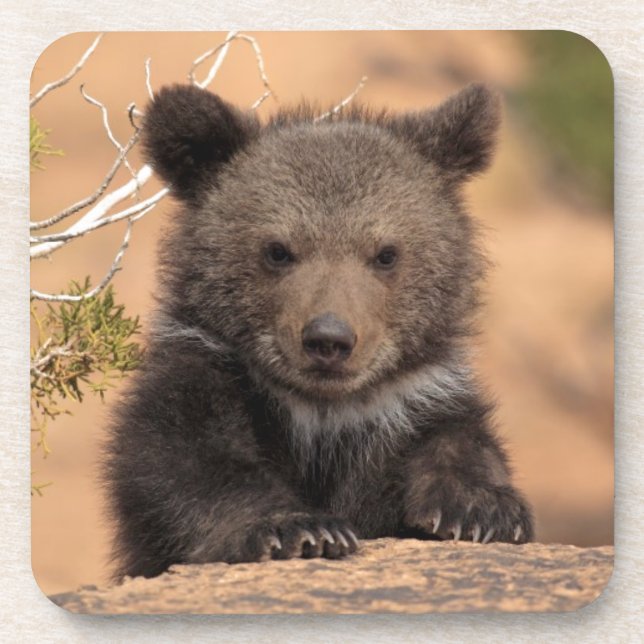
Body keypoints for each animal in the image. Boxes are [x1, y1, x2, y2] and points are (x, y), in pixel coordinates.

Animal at [104, 82, 534, 580]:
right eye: (278, 250)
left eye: (386, 253)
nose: (329, 339)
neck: (323, 417)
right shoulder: (207, 377)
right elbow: (185, 460)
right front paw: (298, 527)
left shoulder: (413, 401)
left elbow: (459, 441)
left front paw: (480, 508)